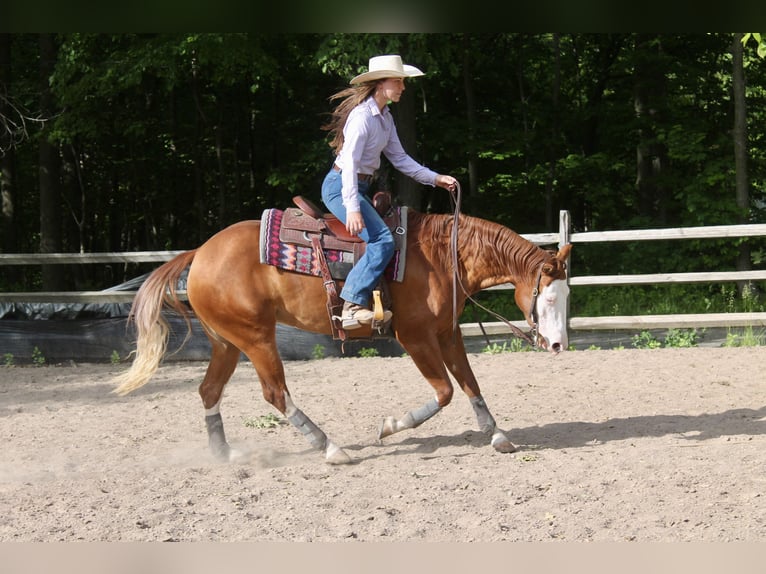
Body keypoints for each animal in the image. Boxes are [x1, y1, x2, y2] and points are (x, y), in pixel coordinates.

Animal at [112, 202, 572, 465]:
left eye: (566, 296)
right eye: (548, 297)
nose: (557, 344)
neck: (442, 255)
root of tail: (200, 252)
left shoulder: (447, 333)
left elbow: (471, 384)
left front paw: (498, 435)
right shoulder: (415, 337)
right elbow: (444, 392)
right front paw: (391, 426)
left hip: (226, 341)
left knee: (209, 390)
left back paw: (224, 455)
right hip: (256, 337)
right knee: (275, 393)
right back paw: (332, 449)